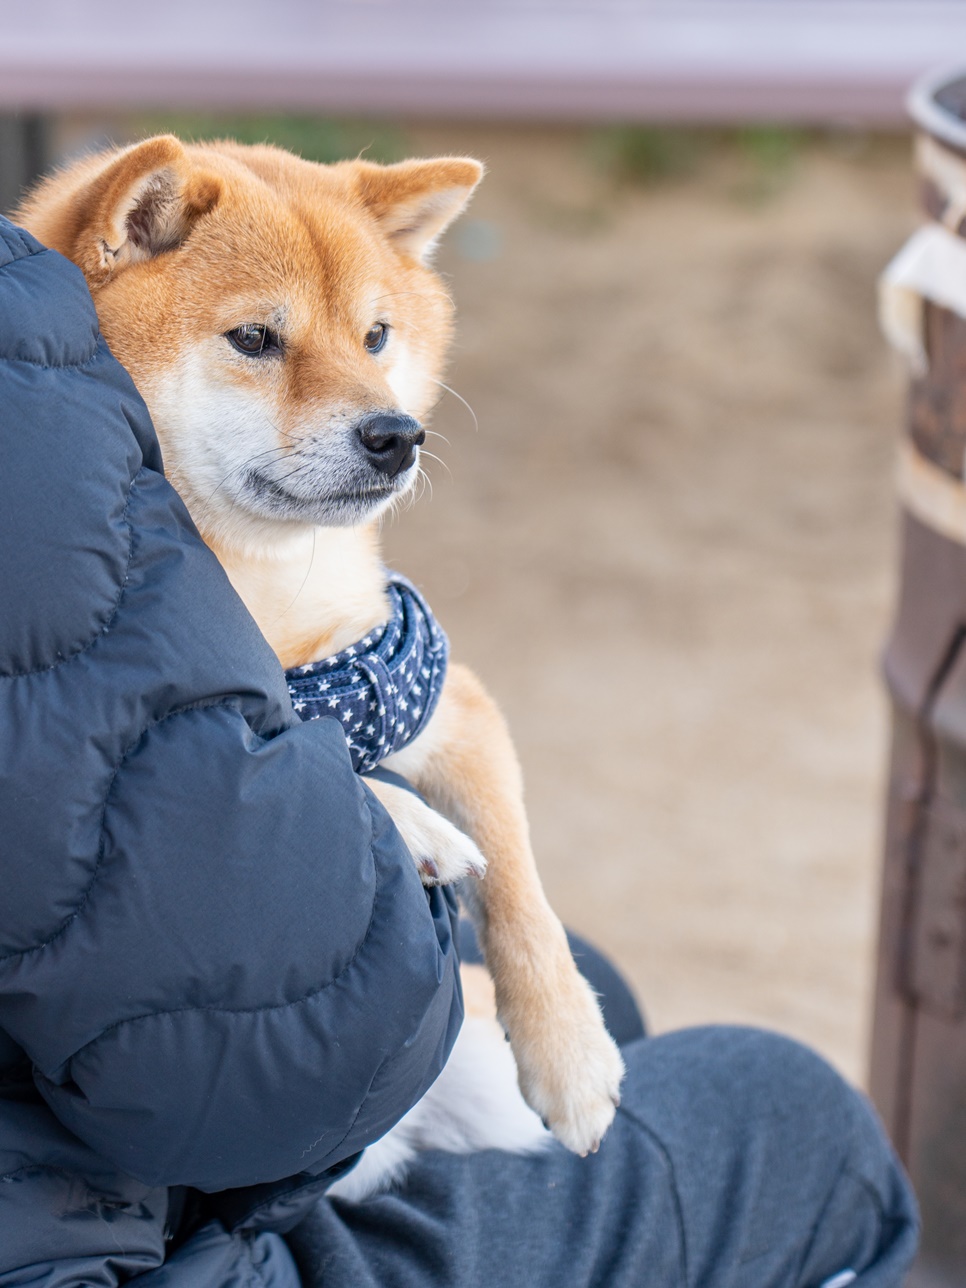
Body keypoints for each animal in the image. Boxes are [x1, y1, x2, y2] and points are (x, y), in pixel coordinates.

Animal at [20, 138, 628, 1179]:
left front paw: (571, 1053)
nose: (396, 435)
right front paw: (411, 825)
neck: (265, 591)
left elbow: (520, 884)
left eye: (376, 336)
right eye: (256, 339)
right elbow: (339, 775)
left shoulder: (424, 684)